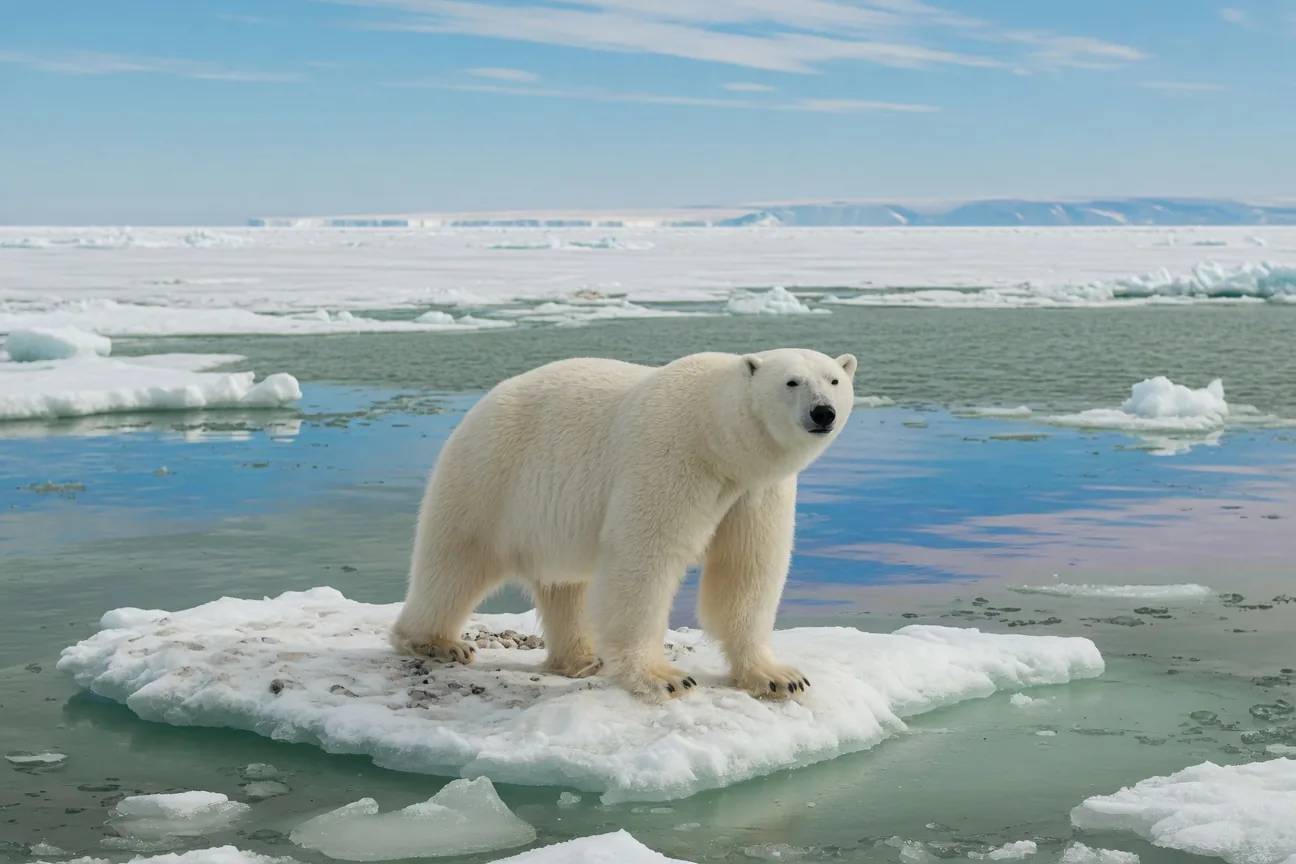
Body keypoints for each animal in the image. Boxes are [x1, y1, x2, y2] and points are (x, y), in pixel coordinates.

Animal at [389, 348, 858, 702]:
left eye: (834, 380)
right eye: (792, 382)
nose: (823, 413)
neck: (717, 439)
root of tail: (478, 408)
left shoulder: (755, 491)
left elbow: (747, 569)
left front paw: (780, 677)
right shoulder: (669, 457)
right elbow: (645, 557)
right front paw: (663, 678)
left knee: (564, 585)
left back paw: (582, 658)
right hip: (490, 478)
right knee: (455, 561)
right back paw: (437, 642)